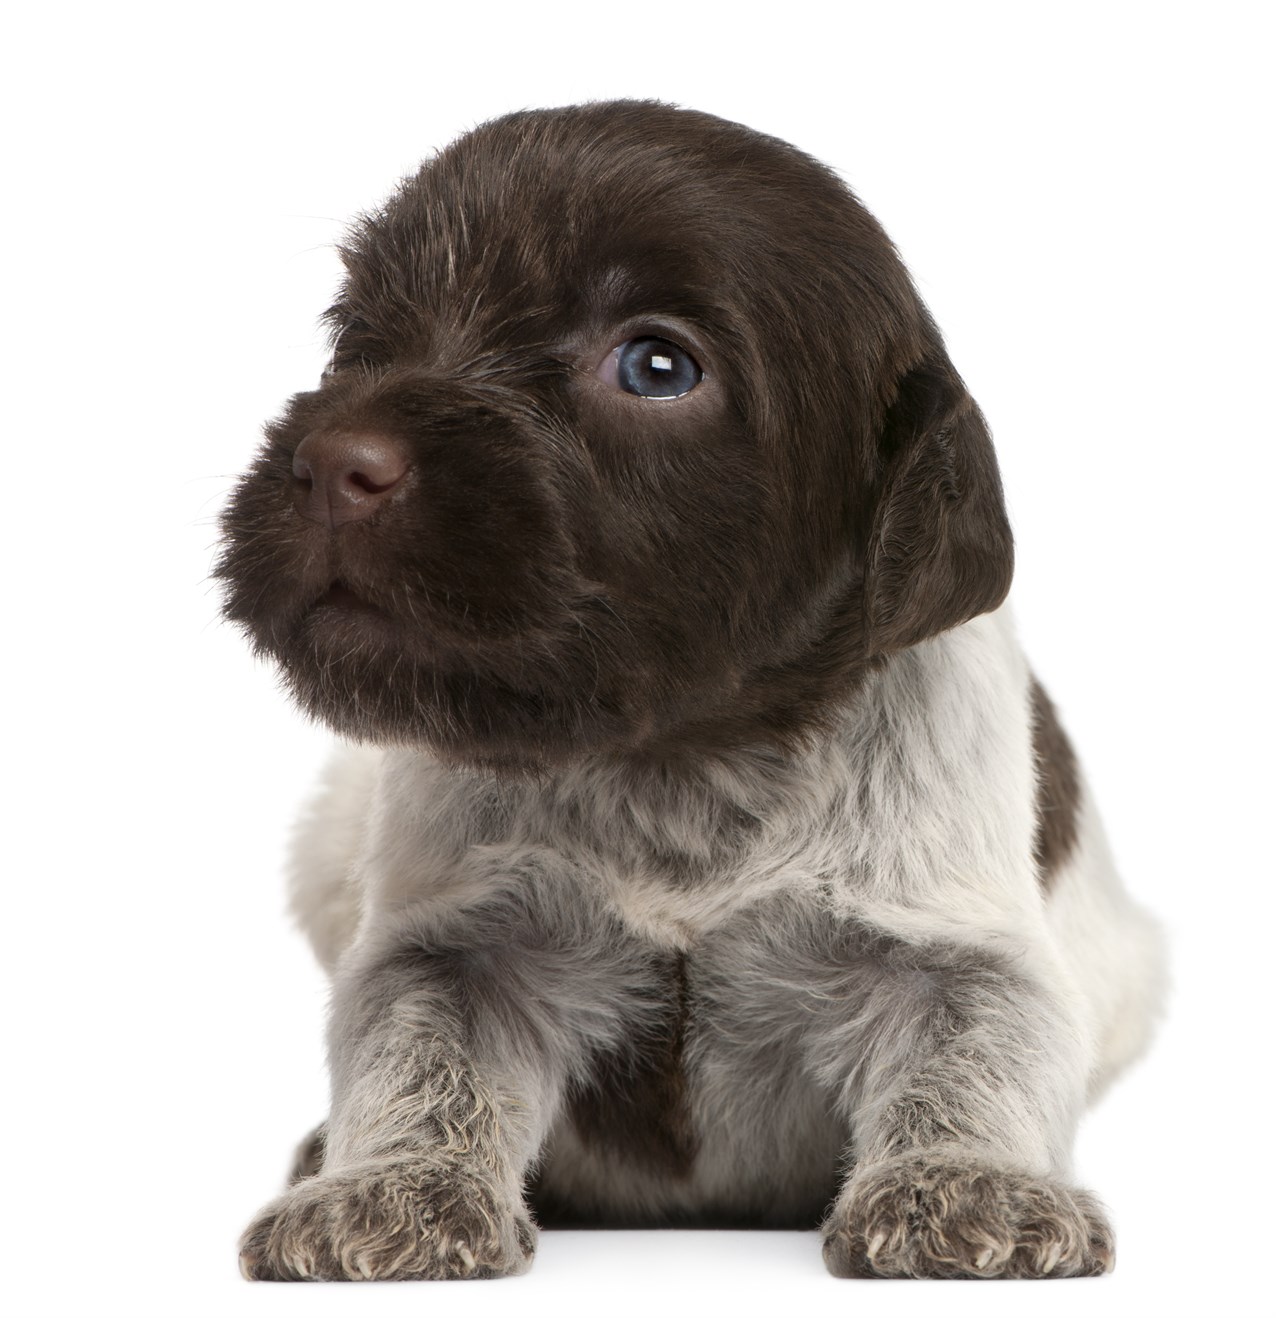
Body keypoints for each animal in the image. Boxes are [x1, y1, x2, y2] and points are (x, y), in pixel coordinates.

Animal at [218, 100, 1165, 1275]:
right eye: (359, 341)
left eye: (657, 366)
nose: (332, 465)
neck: (678, 754)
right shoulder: (463, 948)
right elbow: (417, 1053)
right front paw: (387, 1184)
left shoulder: (945, 945)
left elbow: (975, 1047)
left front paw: (967, 1181)